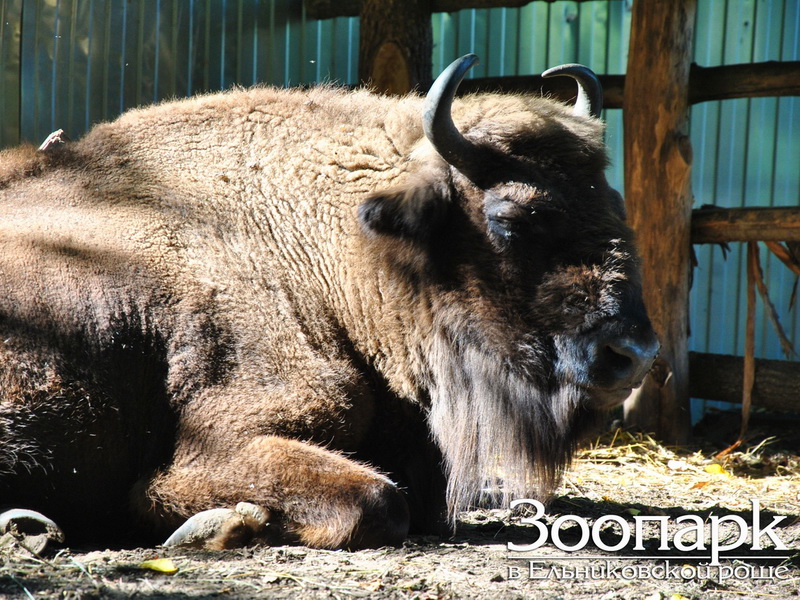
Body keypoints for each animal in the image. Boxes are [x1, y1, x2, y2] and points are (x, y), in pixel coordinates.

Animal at [0, 55, 660, 548]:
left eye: (613, 204)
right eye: (513, 217)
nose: (635, 354)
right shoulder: (225, 438)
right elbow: (379, 500)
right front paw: (216, 527)